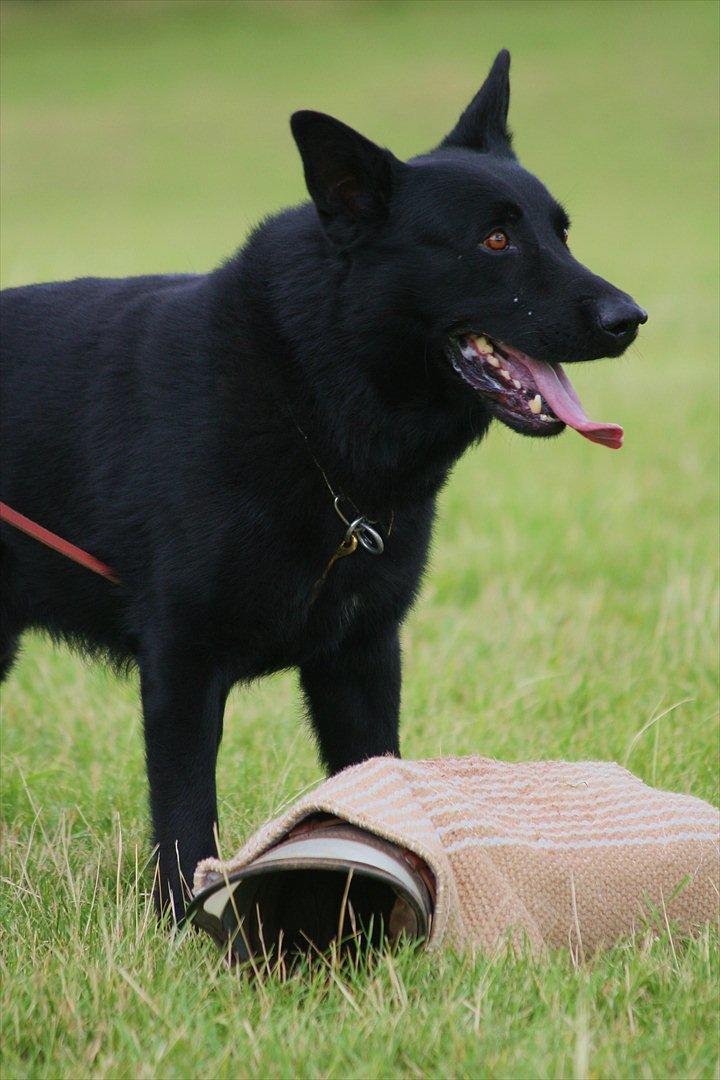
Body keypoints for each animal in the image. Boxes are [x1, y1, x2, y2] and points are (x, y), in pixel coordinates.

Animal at [1, 50, 647, 911]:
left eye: (560, 232)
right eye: (495, 239)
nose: (629, 319)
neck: (306, 396)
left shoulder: (361, 661)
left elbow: (375, 786)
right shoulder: (183, 666)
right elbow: (186, 820)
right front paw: (188, 923)